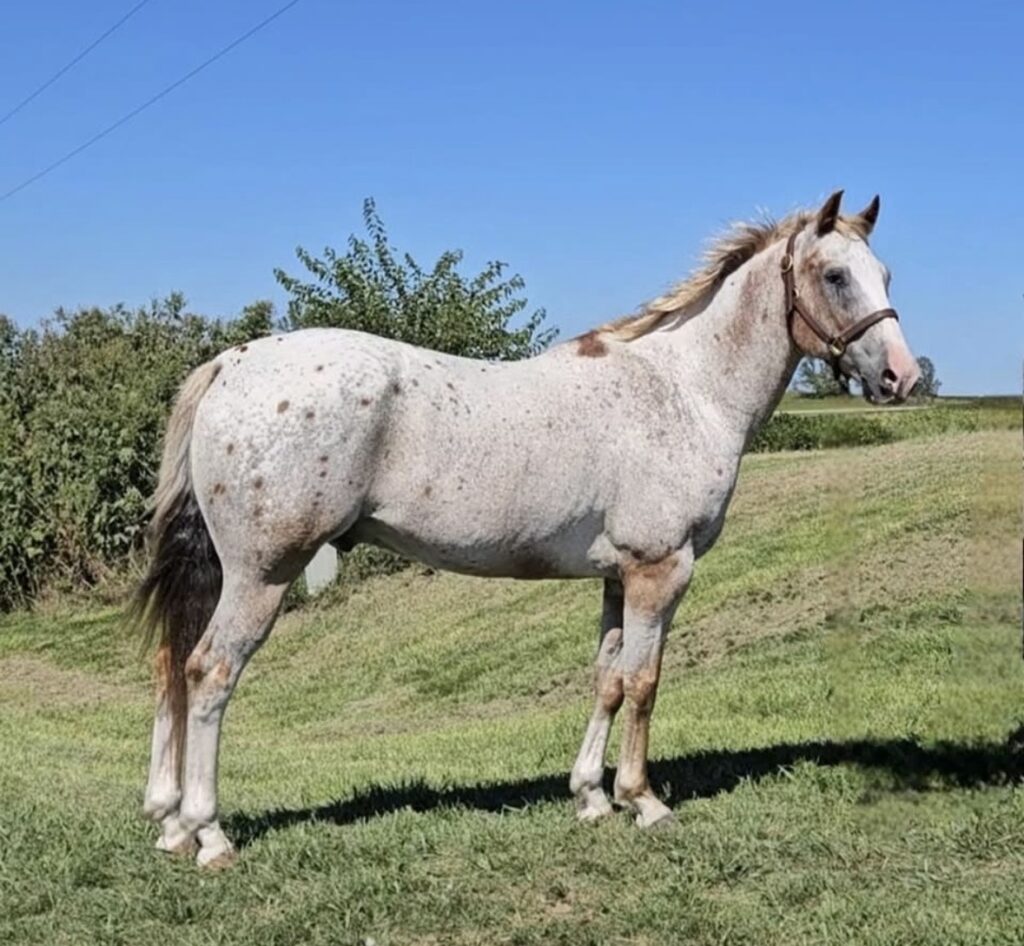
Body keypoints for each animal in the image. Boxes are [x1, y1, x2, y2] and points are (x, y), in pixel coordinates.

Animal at [133, 190, 920, 867]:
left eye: (883, 274)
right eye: (835, 275)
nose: (902, 379)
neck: (684, 390)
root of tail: (231, 362)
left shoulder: (617, 577)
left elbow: (606, 679)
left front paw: (592, 798)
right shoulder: (661, 570)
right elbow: (645, 682)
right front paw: (644, 801)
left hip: (225, 573)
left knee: (172, 664)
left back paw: (169, 824)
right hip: (262, 575)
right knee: (210, 673)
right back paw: (209, 834)